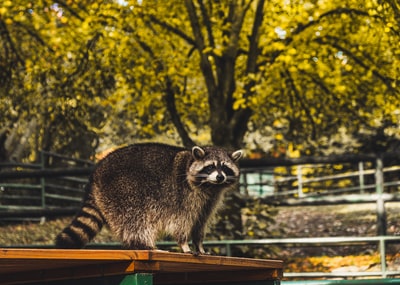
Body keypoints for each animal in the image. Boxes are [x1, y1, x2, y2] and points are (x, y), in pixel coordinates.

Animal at [55, 142, 244, 253]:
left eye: (225, 168)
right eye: (210, 167)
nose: (219, 177)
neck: (210, 186)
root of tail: (95, 173)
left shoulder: (208, 202)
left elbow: (199, 223)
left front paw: (199, 245)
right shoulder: (183, 197)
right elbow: (181, 222)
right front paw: (183, 243)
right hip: (123, 192)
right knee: (135, 221)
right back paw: (145, 245)